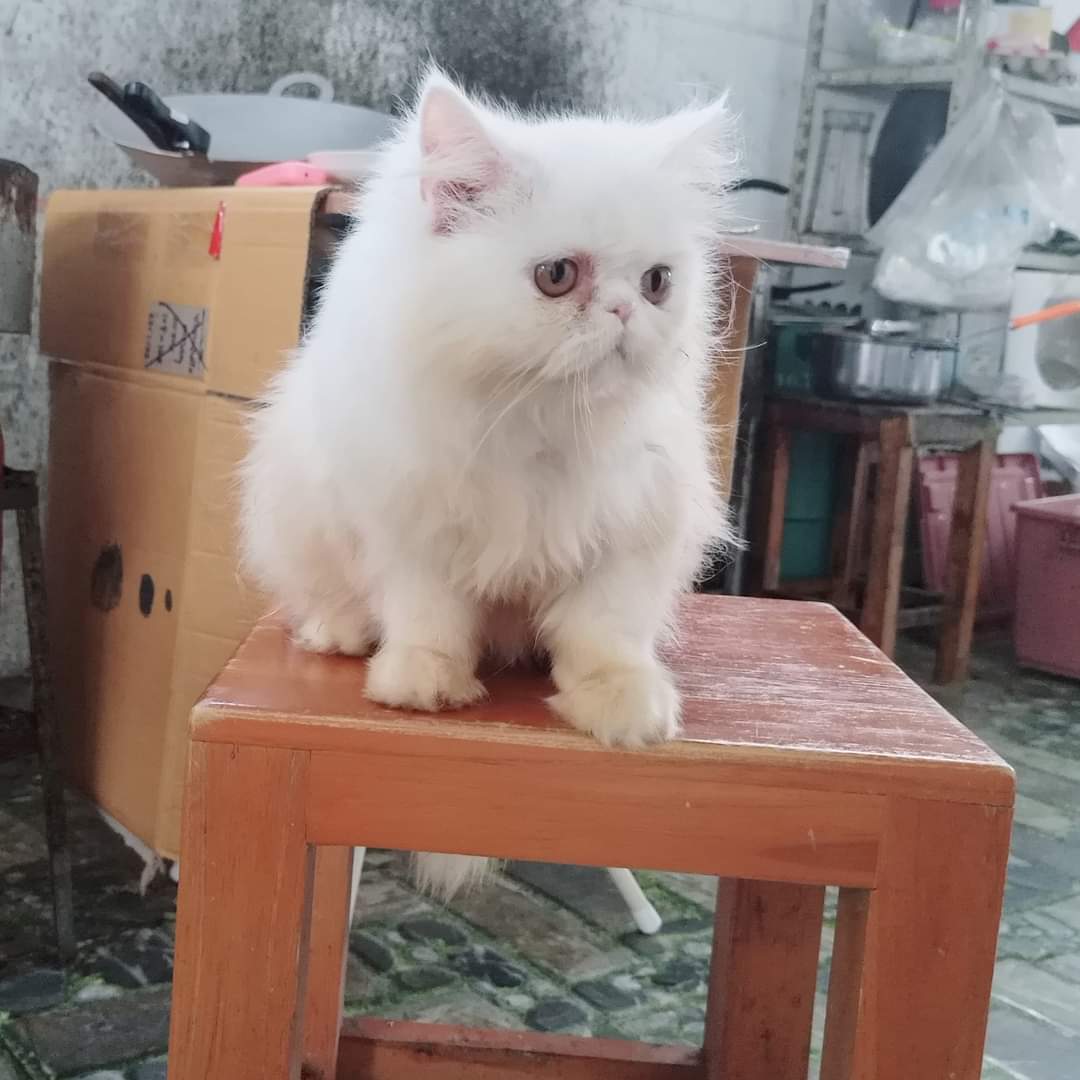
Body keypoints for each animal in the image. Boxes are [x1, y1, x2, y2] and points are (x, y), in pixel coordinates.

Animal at [240, 67, 737, 899]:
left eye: (658, 283)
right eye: (558, 276)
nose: (625, 311)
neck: (540, 420)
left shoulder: (634, 529)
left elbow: (604, 630)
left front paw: (626, 710)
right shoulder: (409, 523)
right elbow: (430, 616)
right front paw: (423, 685)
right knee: (329, 598)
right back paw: (342, 634)